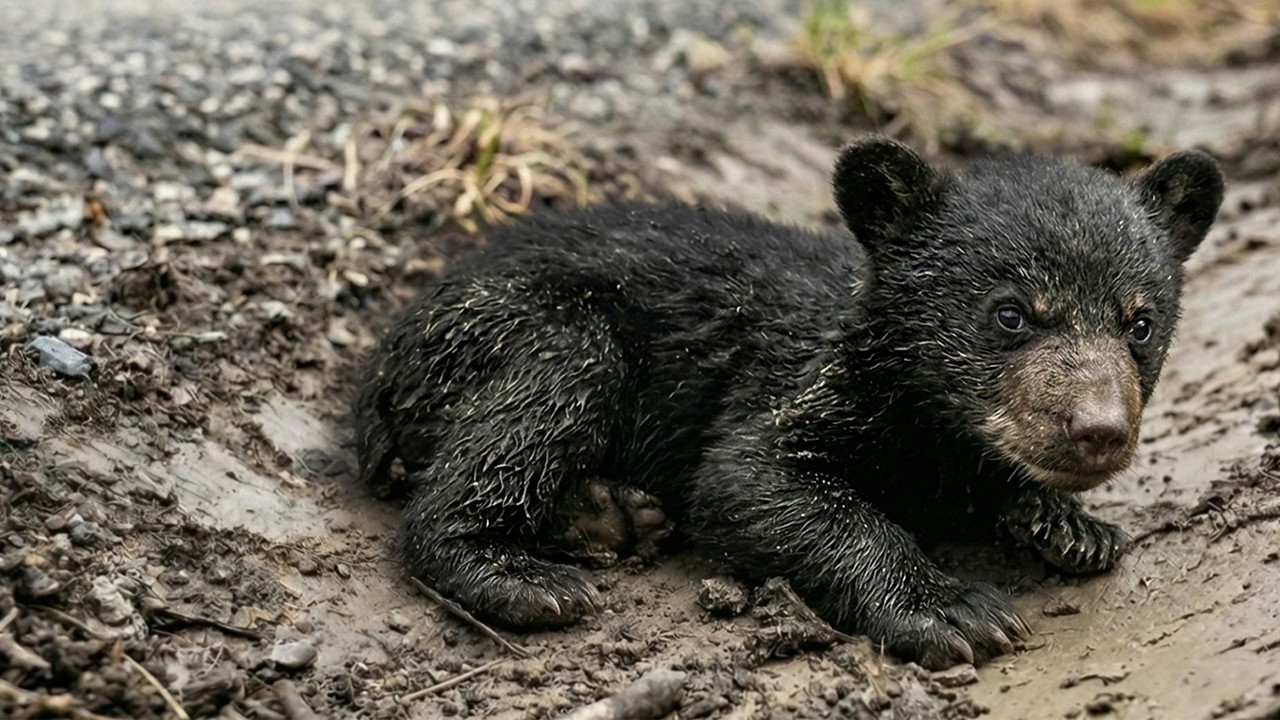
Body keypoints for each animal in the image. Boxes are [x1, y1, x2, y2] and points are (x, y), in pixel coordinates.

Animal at [354, 137, 1223, 670]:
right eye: (1010, 314)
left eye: (1140, 323)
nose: (1097, 432)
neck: (926, 414)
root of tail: (379, 363)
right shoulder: (797, 382)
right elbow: (749, 479)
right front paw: (949, 609)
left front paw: (1068, 525)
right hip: (526, 326)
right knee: (538, 399)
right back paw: (520, 574)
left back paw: (608, 514)